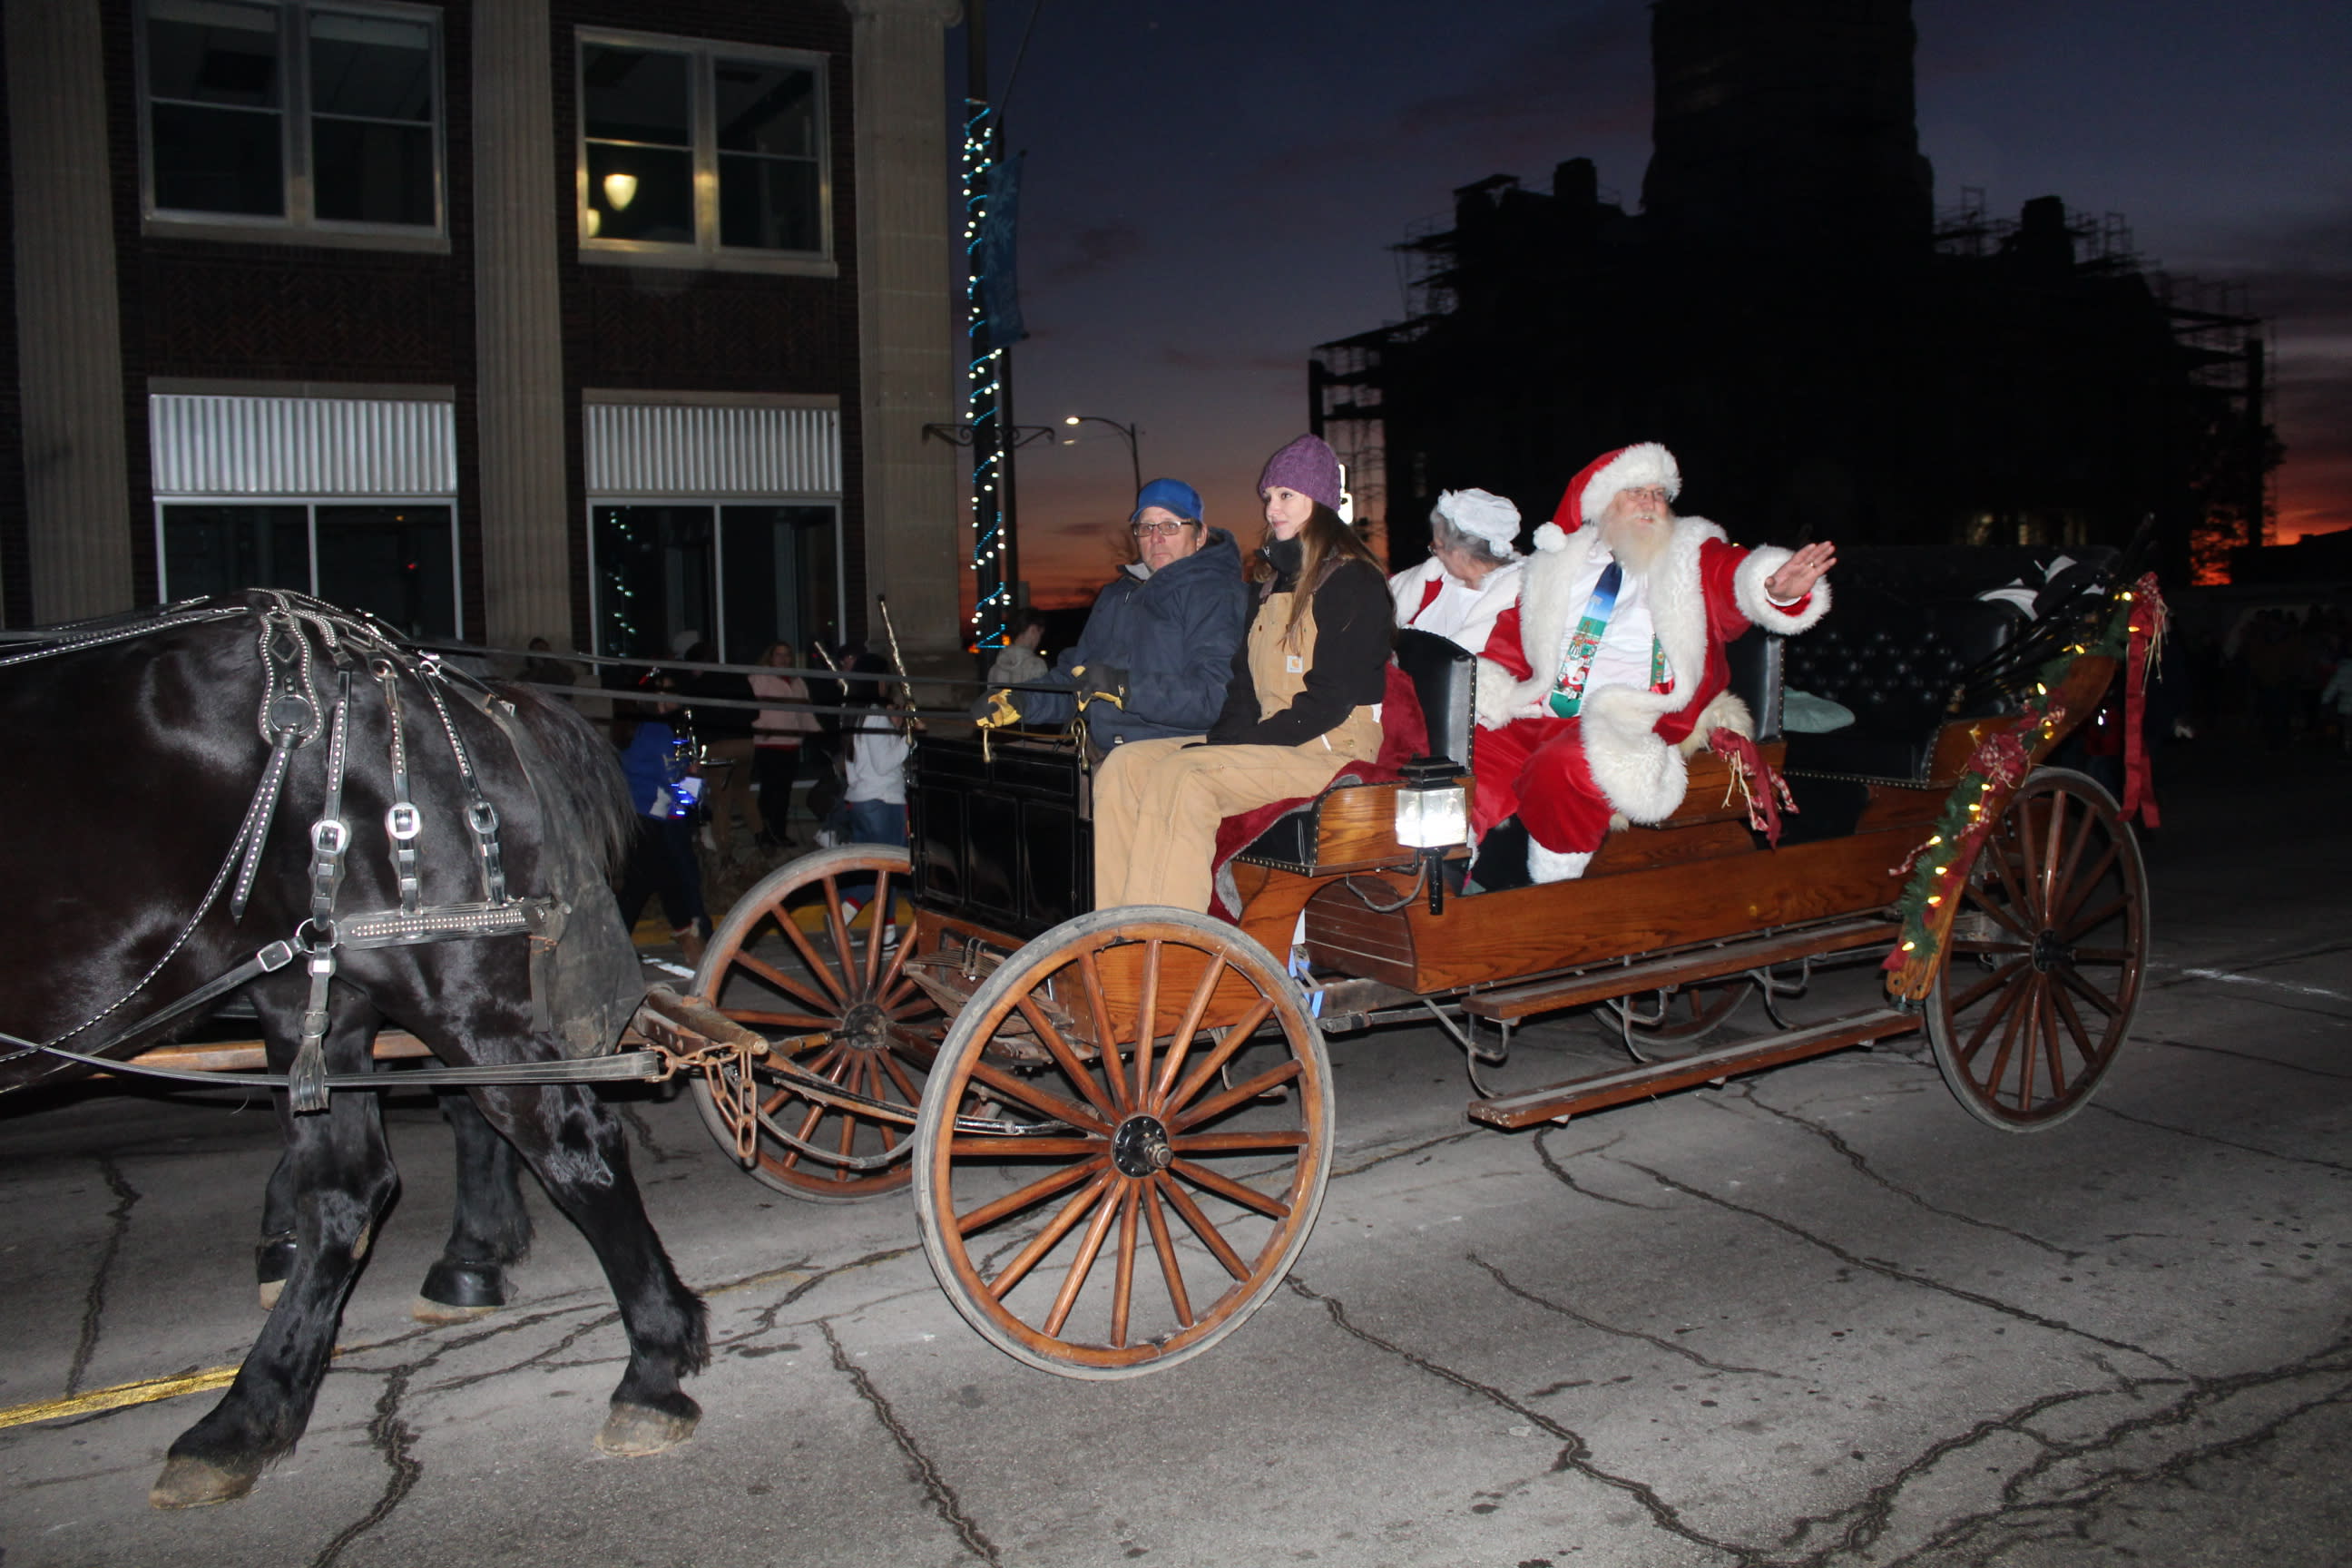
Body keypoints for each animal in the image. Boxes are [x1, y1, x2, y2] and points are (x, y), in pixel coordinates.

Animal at [0, 592, 705, 1504]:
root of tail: (427, 674)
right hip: (328, 986)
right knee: (360, 1180)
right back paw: (249, 1415)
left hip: (440, 969)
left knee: (563, 1138)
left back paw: (650, 1367)